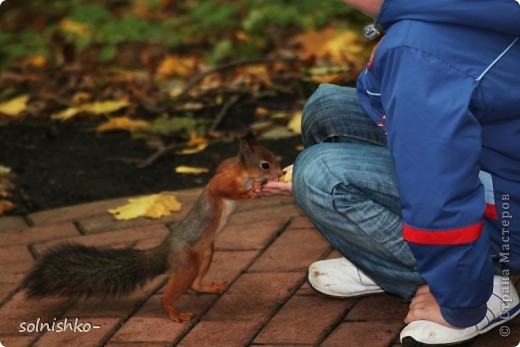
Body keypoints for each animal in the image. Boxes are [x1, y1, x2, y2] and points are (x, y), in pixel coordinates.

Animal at [20, 136, 282, 324]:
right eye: (265, 164)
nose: (279, 173)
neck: (242, 171)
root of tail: (165, 251)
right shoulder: (223, 179)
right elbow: (223, 190)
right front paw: (251, 191)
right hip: (186, 264)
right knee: (167, 296)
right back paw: (174, 313)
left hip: (206, 254)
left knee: (195, 284)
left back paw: (207, 287)